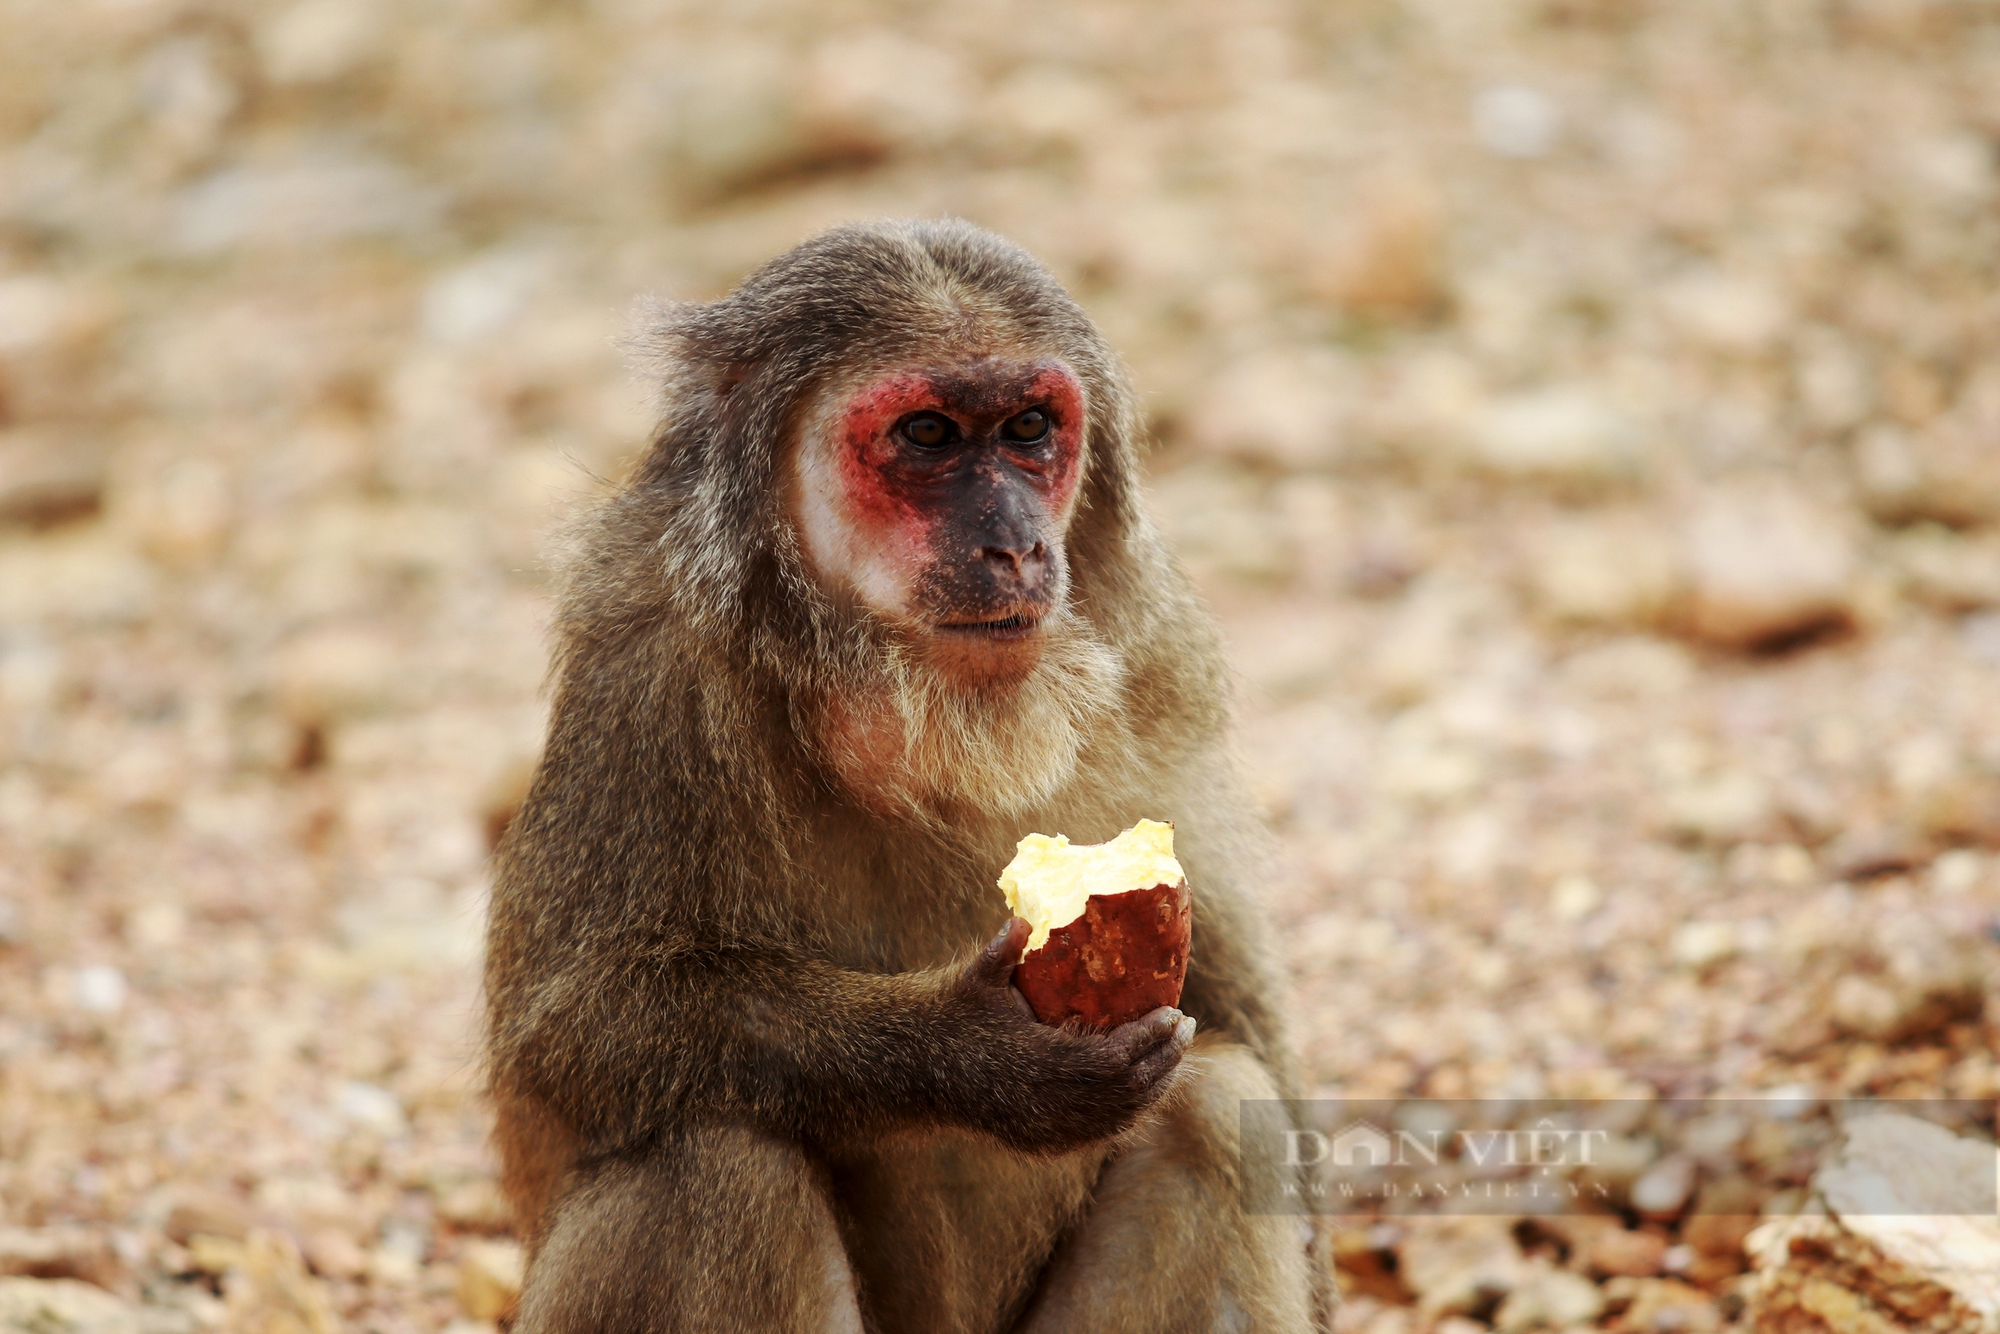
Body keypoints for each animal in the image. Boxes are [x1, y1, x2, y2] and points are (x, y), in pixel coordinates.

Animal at [480, 222, 1328, 1334]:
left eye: (1027, 428)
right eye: (927, 434)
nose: (1017, 543)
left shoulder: (1159, 655)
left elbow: (1235, 1007)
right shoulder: (647, 665)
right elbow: (577, 1030)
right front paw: (974, 1056)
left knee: (1220, 1113)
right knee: (714, 1163)